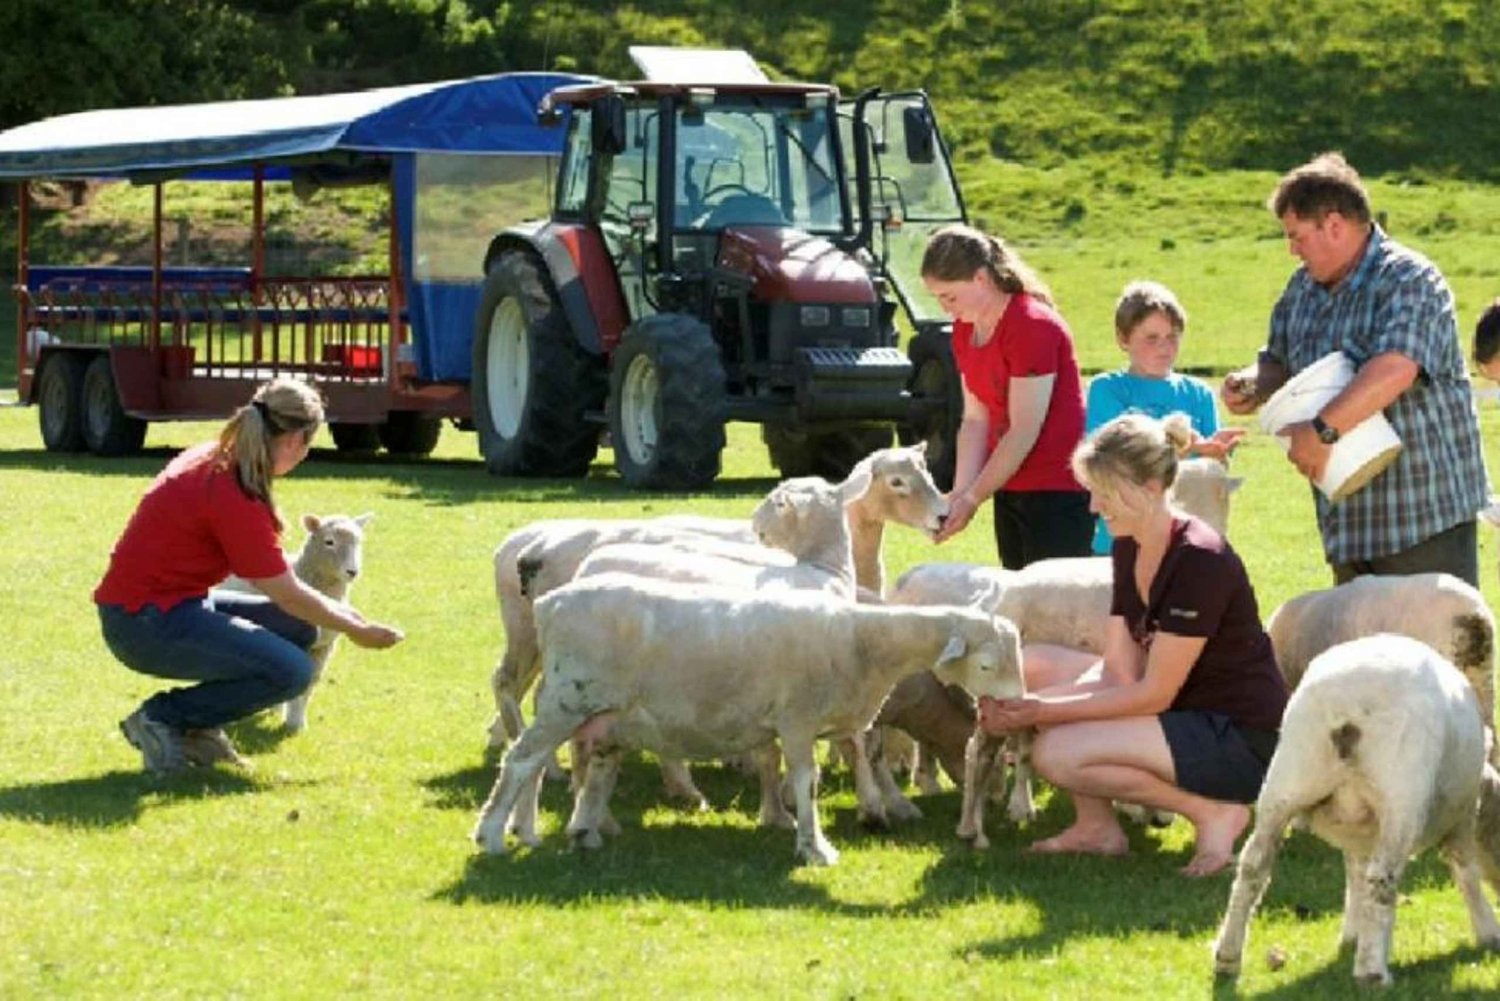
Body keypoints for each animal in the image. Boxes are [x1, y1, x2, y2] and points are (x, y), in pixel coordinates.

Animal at [219, 513, 372, 732]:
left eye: (359, 541)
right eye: (329, 542)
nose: (353, 572)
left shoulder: (324, 646)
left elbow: (310, 683)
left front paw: (296, 722)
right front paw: (291, 720)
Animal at [474, 579, 1026, 870]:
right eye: (985, 665)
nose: (1017, 708)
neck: (859, 642)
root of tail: (548, 604)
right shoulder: (798, 718)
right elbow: (806, 781)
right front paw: (815, 846)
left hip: (597, 713)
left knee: (556, 764)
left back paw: (563, 832)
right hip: (567, 699)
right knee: (521, 759)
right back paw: (494, 835)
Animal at [1206, 633, 1500, 984]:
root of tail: (1347, 707)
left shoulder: (1356, 832)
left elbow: (1355, 877)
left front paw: (1354, 936)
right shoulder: (1461, 819)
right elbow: (1466, 872)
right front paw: (1488, 933)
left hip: (1286, 780)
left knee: (1253, 865)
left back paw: (1227, 957)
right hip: (1402, 793)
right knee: (1383, 877)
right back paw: (1372, 973)